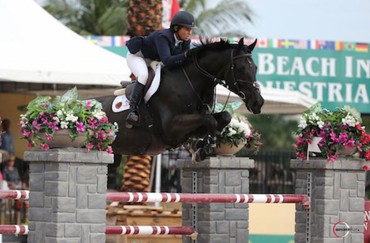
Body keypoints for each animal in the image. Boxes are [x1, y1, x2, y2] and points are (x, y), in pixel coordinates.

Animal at [95, 37, 264, 165]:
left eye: (255, 68)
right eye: (240, 68)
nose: (258, 103)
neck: (192, 84)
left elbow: (223, 117)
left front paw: (200, 146)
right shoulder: (171, 128)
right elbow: (209, 120)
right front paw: (205, 148)